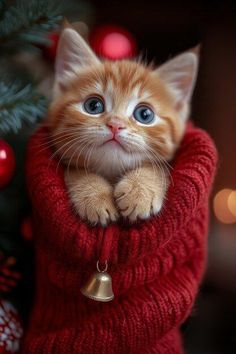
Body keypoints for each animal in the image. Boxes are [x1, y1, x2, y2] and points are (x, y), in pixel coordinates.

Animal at [47, 29, 198, 225]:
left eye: (144, 114)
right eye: (93, 106)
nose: (115, 125)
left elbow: (156, 167)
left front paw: (140, 190)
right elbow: (74, 170)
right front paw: (93, 194)